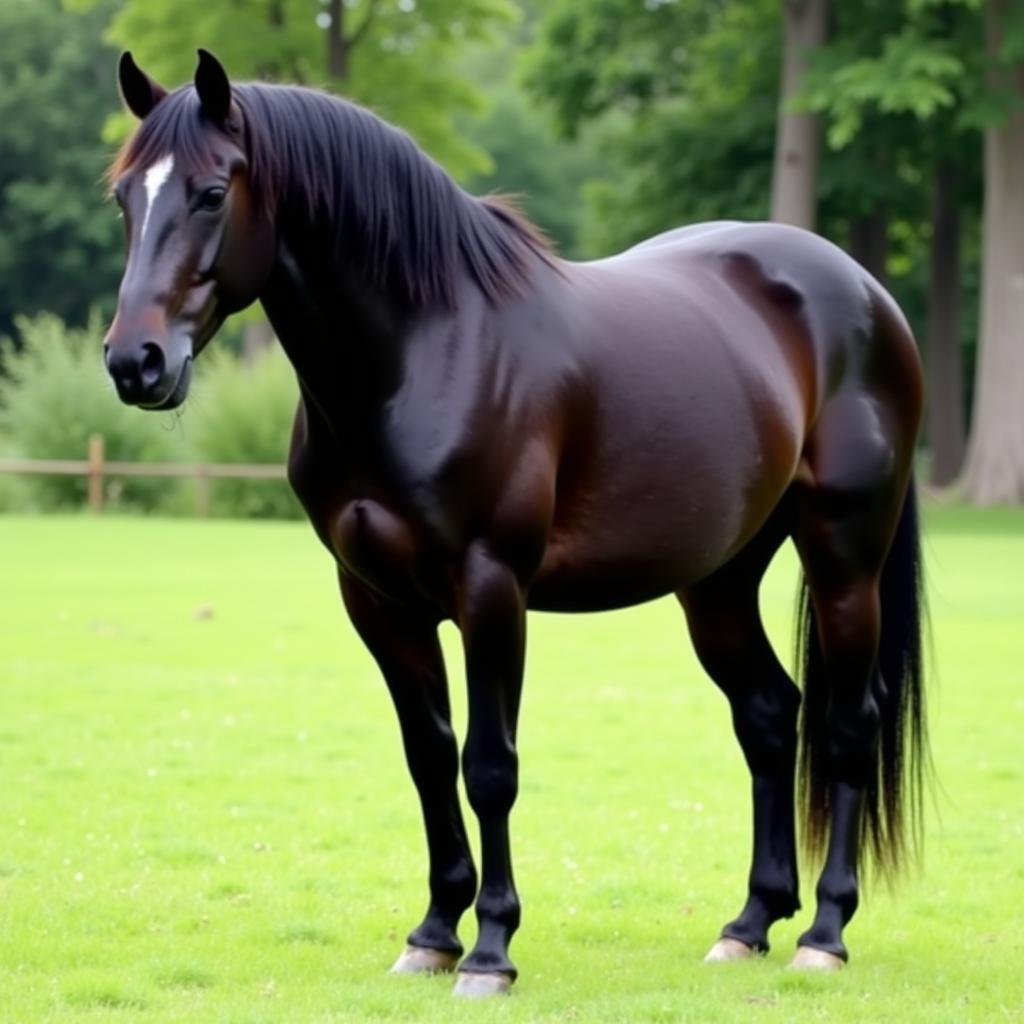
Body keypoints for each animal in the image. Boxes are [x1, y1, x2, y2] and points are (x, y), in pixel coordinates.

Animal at [101, 49, 929, 999]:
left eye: (210, 193)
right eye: (123, 198)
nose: (134, 361)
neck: (424, 352)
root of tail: (863, 291)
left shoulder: (491, 589)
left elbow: (489, 767)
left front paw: (491, 949)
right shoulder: (379, 601)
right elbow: (429, 758)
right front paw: (432, 934)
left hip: (843, 557)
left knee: (847, 724)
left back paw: (824, 932)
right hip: (717, 581)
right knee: (768, 714)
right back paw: (750, 923)